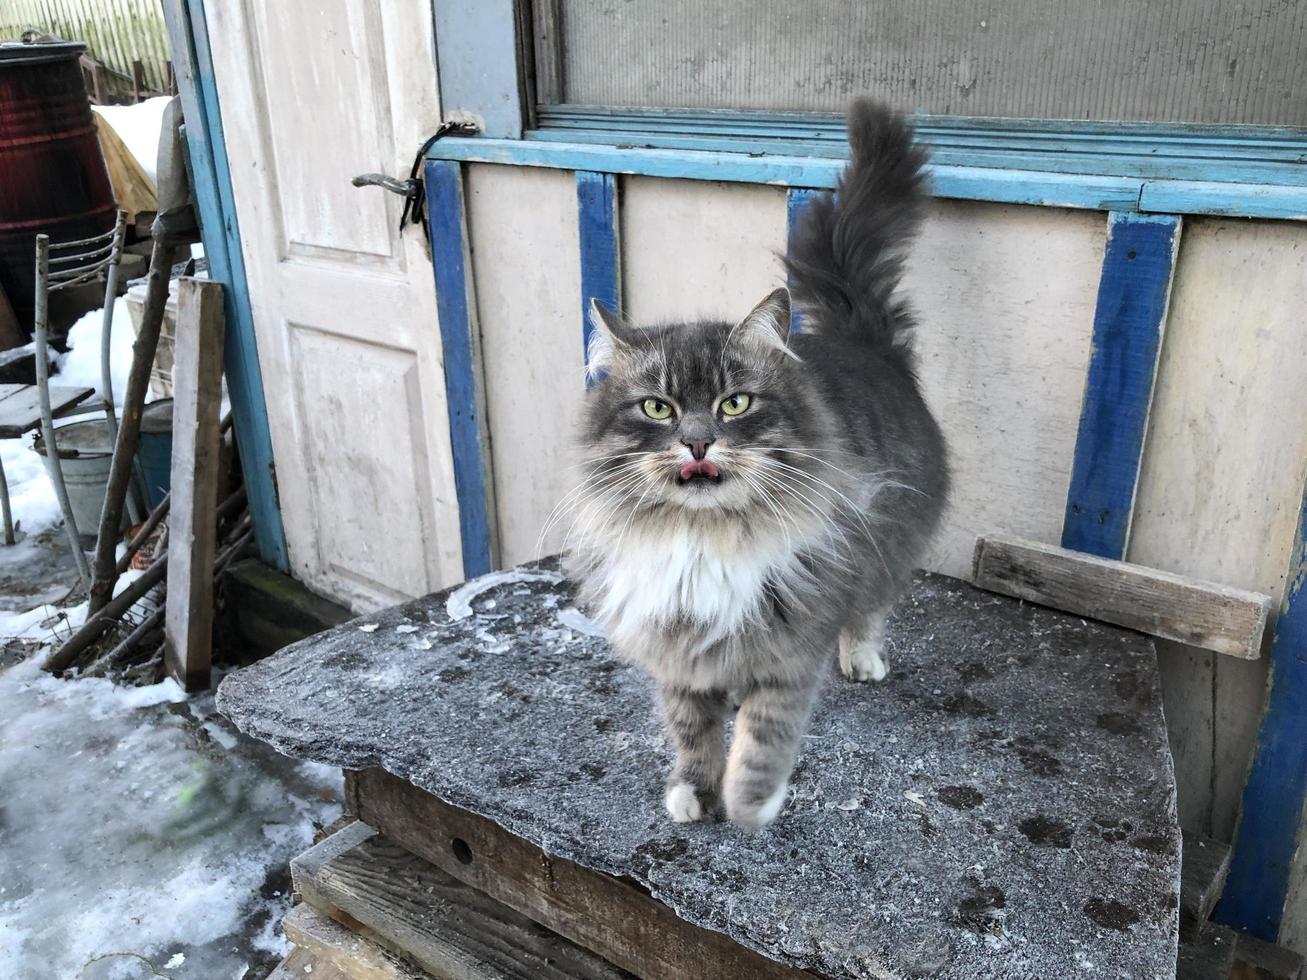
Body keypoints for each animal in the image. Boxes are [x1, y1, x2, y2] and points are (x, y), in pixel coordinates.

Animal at [567, 99, 946, 831]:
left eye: (733, 403)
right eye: (657, 408)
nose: (696, 442)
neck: (701, 542)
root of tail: (864, 341)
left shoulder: (793, 635)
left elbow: (766, 734)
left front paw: (747, 803)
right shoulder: (677, 645)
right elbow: (692, 729)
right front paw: (693, 792)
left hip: (885, 545)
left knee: (869, 609)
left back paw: (862, 658)